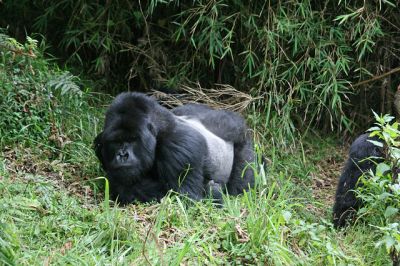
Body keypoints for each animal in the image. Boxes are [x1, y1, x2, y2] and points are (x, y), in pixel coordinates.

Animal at [94, 91, 256, 204]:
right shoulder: (100, 144)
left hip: (242, 136)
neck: (159, 130)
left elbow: (185, 198)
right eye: (115, 141)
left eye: (133, 139)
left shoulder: (180, 147)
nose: (122, 155)